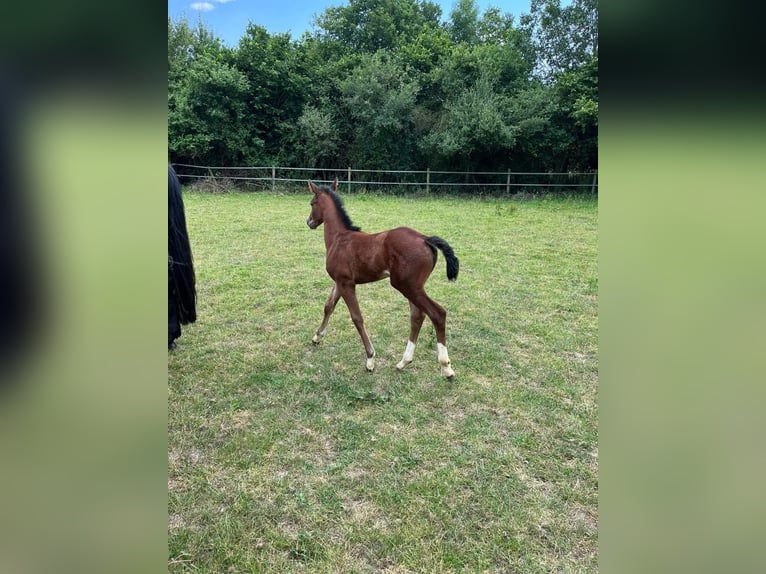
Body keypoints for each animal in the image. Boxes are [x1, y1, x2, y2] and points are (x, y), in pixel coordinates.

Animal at [308, 178, 462, 380]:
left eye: (312, 203)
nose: (309, 222)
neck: (339, 238)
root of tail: (425, 239)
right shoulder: (339, 282)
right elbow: (328, 306)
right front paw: (317, 337)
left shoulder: (346, 283)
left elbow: (357, 317)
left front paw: (370, 358)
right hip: (411, 287)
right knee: (417, 316)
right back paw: (404, 362)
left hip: (406, 285)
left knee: (437, 314)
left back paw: (446, 367)